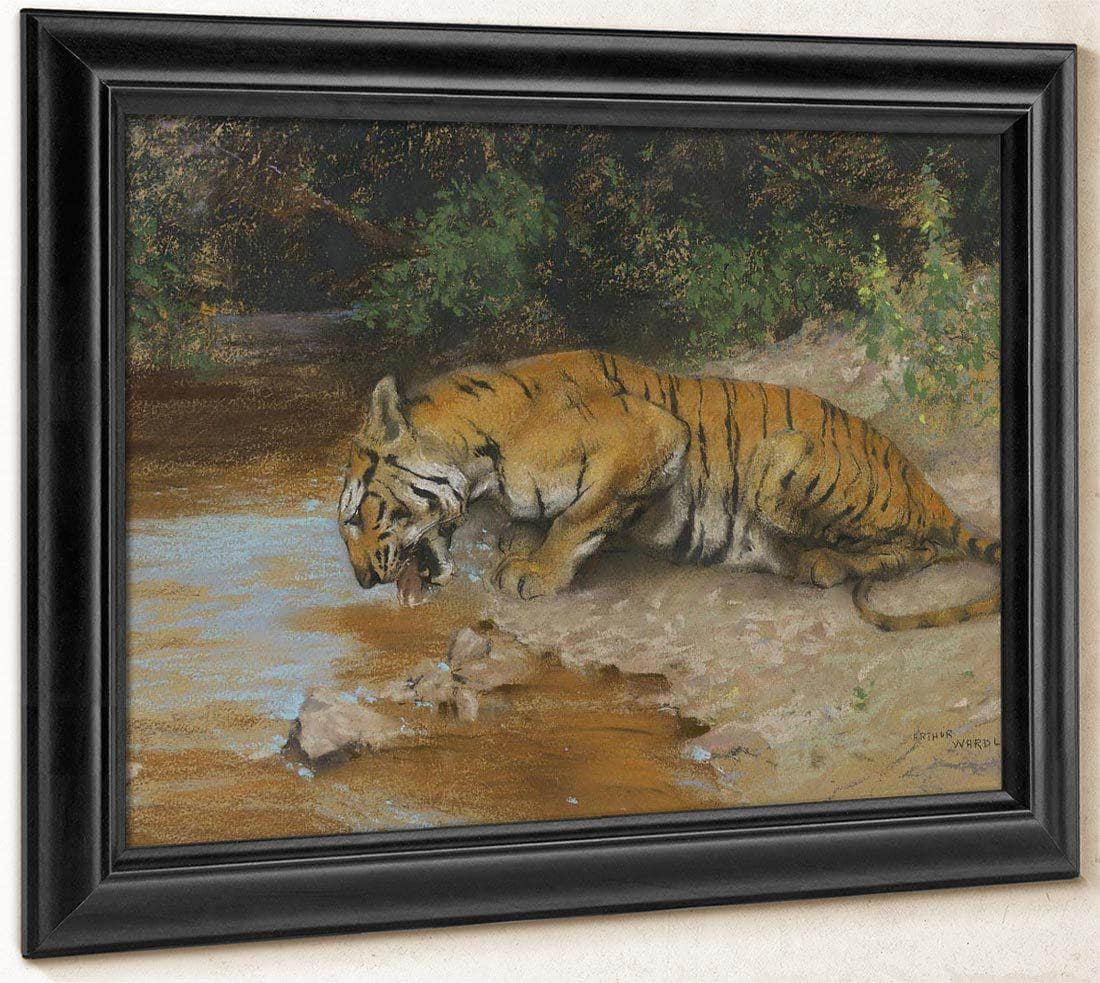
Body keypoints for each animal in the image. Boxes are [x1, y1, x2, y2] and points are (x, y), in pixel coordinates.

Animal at [338, 349, 1000, 631]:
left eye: (357, 515)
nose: (364, 580)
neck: (480, 458)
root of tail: (920, 479)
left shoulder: (653, 434)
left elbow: (578, 518)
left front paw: (536, 572)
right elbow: (549, 521)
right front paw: (518, 549)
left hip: (782, 458)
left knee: (917, 548)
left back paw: (823, 562)